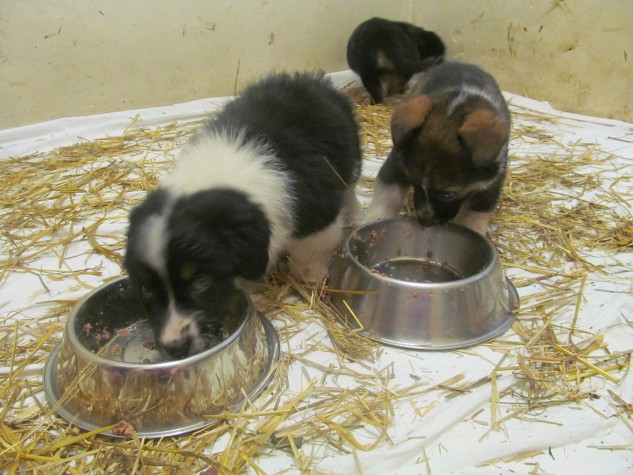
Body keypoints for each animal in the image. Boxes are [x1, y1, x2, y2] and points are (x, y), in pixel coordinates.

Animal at [124, 72, 362, 358]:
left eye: (201, 282)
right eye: (146, 289)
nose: (176, 348)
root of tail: (312, 80)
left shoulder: (317, 210)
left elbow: (313, 248)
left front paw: (309, 276)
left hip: (350, 156)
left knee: (350, 187)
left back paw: (353, 214)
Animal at [365, 61, 511, 235]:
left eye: (447, 194)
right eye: (414, 182)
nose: (424, 222)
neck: (458, 101)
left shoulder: (489, 186)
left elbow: (472, 217)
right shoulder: (396, 164)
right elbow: (386, 196)